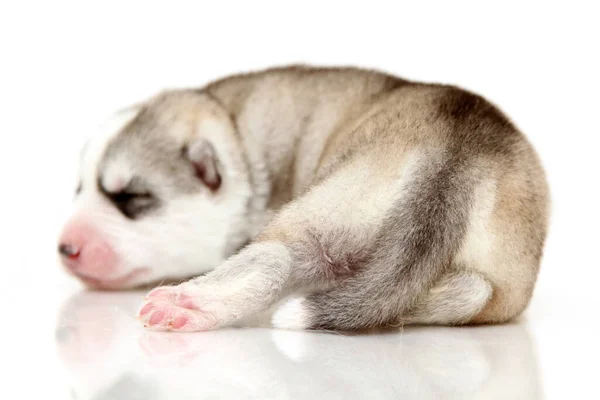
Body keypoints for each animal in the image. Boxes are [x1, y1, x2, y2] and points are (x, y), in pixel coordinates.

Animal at [57, 65, 548, 330]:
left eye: (131, 197)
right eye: (78, 188)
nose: (65, 248)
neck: (234, 132)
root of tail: (454, 151)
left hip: (330, 206)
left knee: (275, 259)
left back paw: (197, 303)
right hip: (498, 286)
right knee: (468, 292)